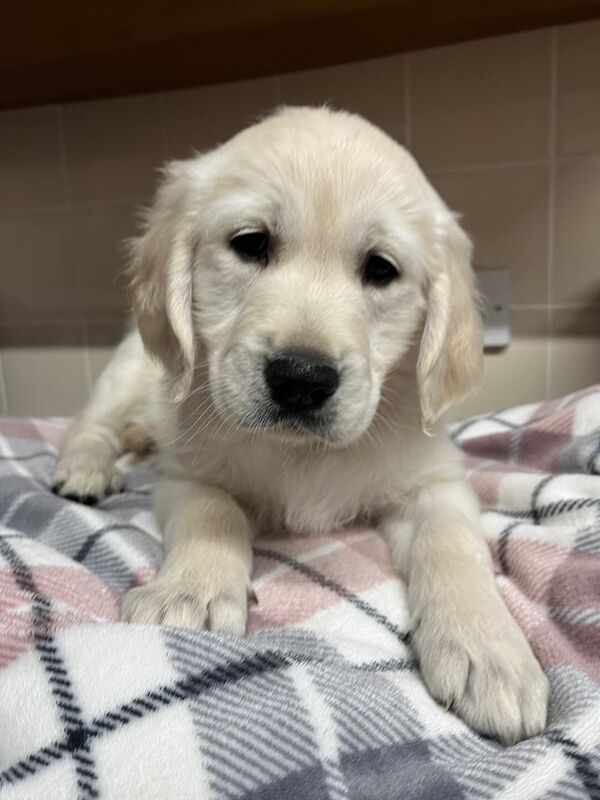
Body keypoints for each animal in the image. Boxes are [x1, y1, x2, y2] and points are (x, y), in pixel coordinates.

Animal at [54, 106, 552, 744]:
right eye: (250, 244)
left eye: (381, 269)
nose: (301, 378)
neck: (301, 454)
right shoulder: (185, 474)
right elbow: (212, 512)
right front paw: (188, 590)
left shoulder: (435, 483)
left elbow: (452, 544)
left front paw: (490, 650)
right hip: (128, 370)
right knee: (90, 427)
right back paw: (86, 471)